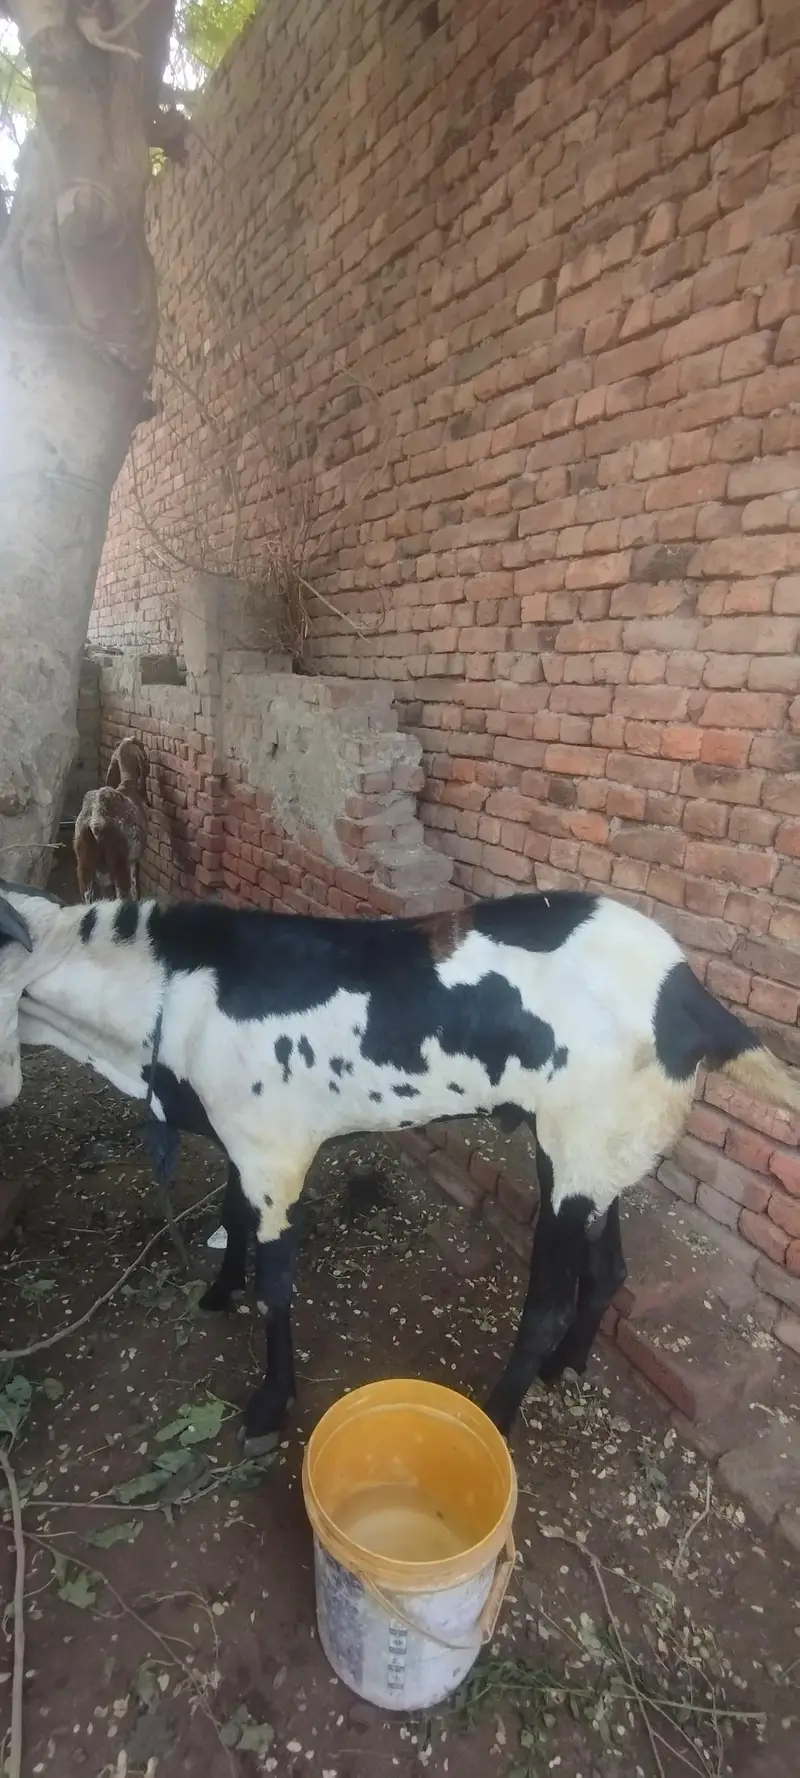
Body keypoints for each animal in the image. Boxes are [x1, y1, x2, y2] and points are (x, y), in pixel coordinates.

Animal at [1, 880, 798, 1453]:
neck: (172, 993)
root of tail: (692, 999)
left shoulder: (274, 1156)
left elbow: (277, 1285)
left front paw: (269, 1404)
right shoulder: (243, 1143)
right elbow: (232, 1220)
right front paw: (218, 1293)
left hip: (578, 1157)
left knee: (546, 1303)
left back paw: (495, 1417)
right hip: (592, 1154)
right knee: (607, 1272)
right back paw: (564, 1365)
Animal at [73, 736, 149, 902]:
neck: (127, 785)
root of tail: (97, 821)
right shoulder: (133, 861)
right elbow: (136, 890)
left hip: (85, 868)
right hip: (119, 867)